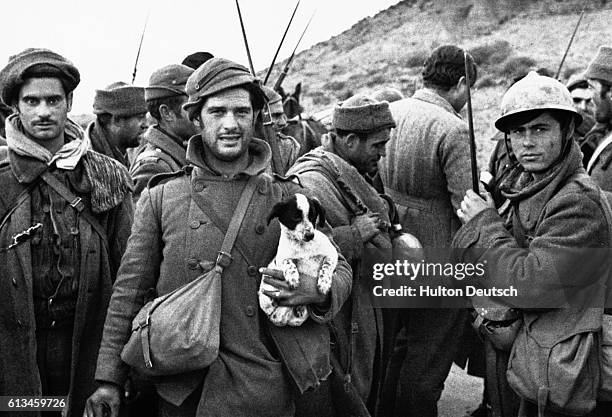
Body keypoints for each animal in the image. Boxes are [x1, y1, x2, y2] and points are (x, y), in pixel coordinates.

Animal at [256, 192, 338, 324]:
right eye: (295, 218)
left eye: (313, 216)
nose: (310, 235)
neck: (303, 246)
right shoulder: (281, 258)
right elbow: (288, 263)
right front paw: (293, 278)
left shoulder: (332, 253)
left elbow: (326, 267)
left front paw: (324, 284)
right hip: (265, 296)